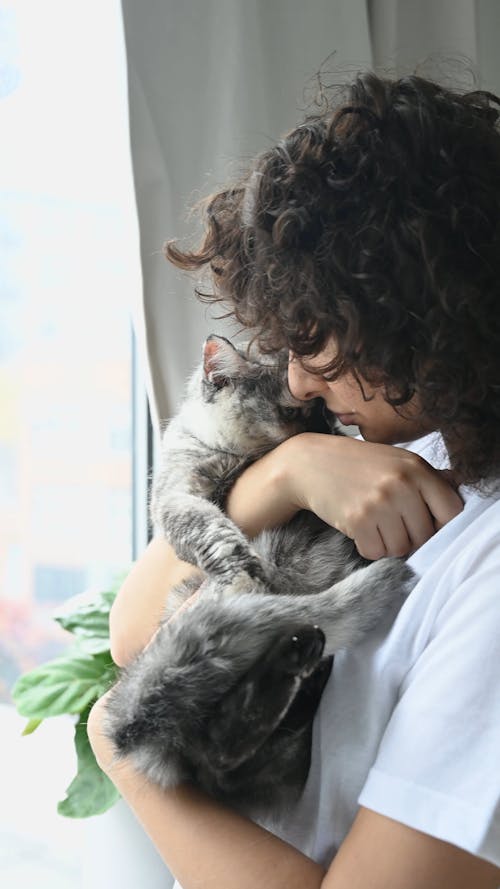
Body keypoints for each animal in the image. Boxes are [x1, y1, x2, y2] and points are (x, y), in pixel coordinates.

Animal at [103, 334, 412, 820]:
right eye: (294, 412)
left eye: (327, 413)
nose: (330, 433)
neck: (236, 459)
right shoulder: (179, 496)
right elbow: (214, 531)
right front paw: (243, 571)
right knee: (220, 751)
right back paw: (297, 655)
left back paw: (303, 664)